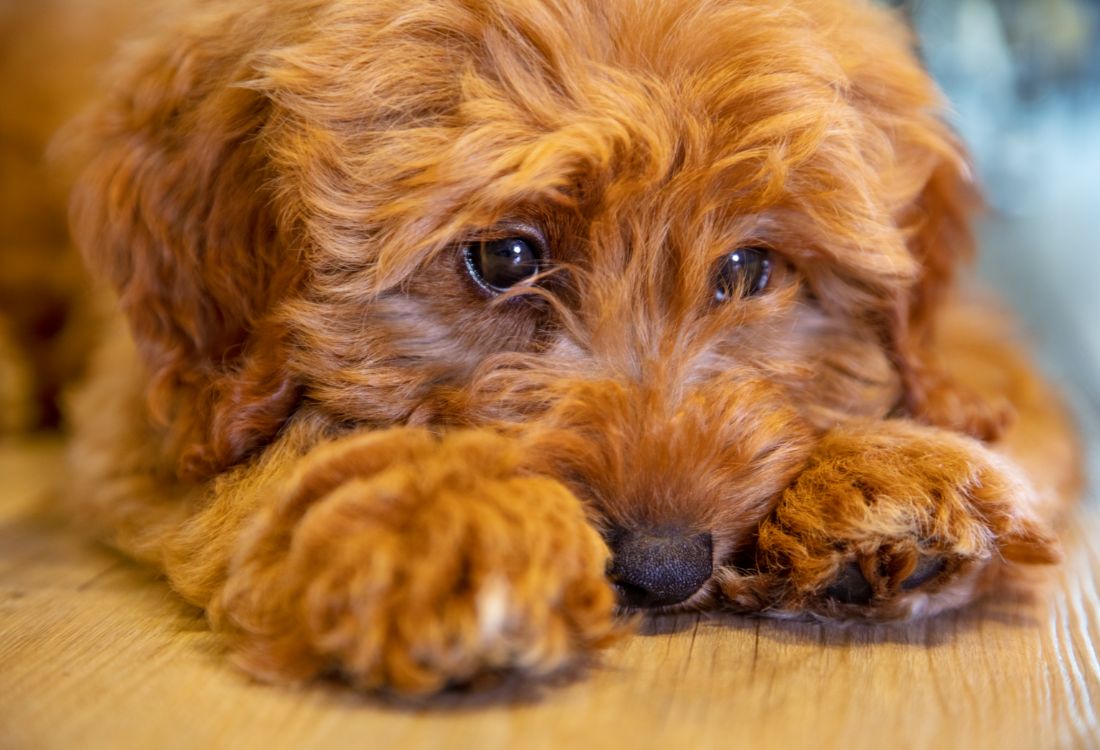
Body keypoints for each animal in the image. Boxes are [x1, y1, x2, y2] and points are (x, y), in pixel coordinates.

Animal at [17, 0, 1082, 690]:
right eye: (504, 256)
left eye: (748, 269)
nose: (665, 568)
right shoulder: (155, 401)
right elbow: (279, 450)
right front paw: (447, 518)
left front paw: (885, 476)